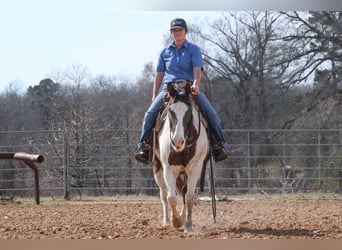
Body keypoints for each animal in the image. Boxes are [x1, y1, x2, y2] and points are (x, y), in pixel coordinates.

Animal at [152, 80, 208, 232]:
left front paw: (187, 224)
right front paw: (175, 221)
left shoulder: (195, 168)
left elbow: (189, 196)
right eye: (171, 111)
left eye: (188, 111)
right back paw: (166, 221)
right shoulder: (168, 168)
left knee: (183, 192)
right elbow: (171, 197)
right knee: (164, 194)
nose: (178, 141)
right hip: (157, 168)